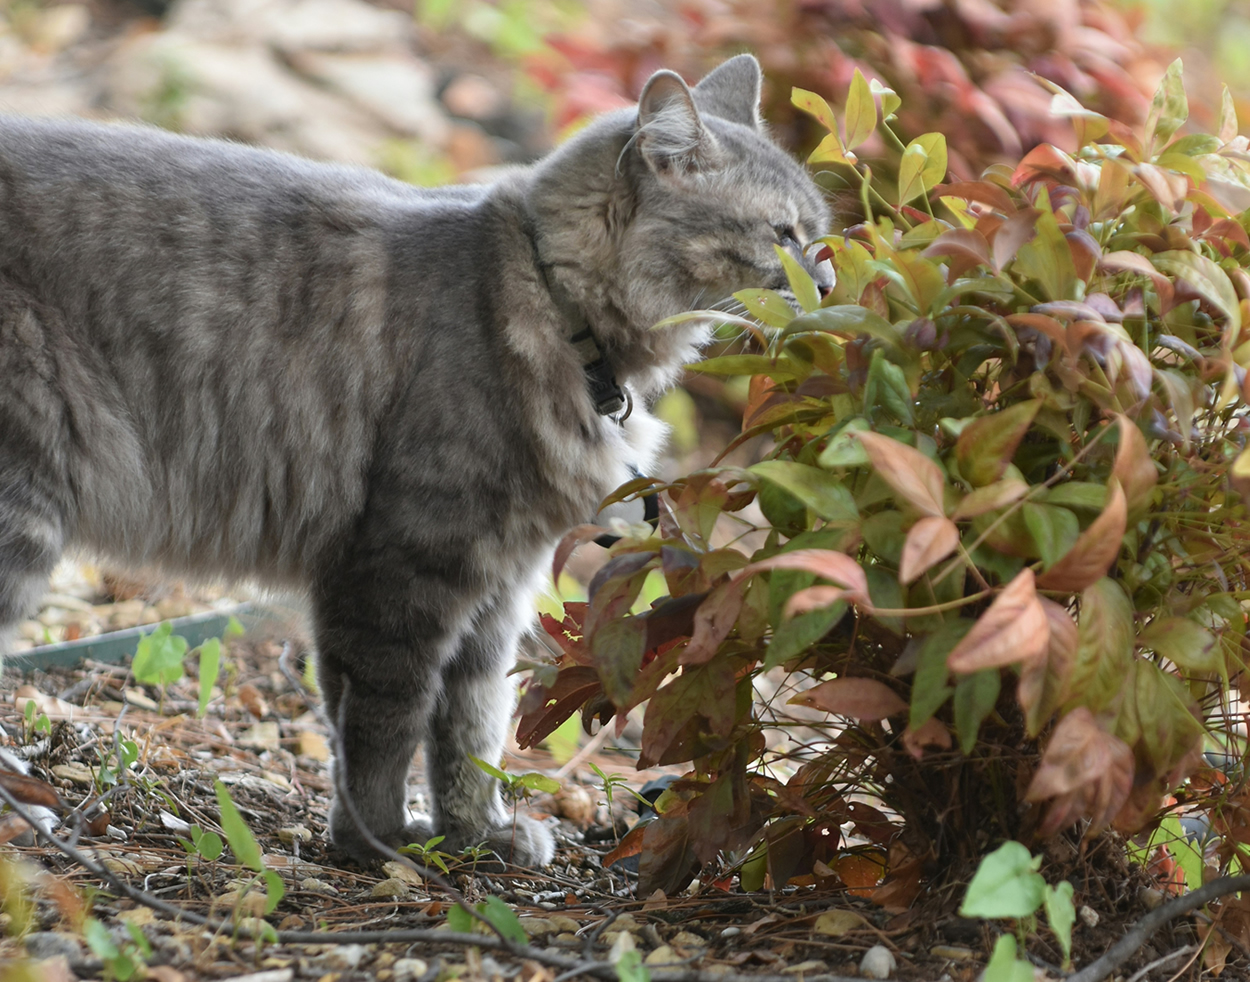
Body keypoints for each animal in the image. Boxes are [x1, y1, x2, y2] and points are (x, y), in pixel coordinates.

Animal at [0, 55, 830, 864]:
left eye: (819, 236)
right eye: (782, 233)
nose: (826, 280)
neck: (548, 302)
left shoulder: (497, 587)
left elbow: (470, 724)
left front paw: (476, 833)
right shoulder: (403, 567)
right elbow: (385, 725)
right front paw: (377, 842)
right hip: (23, 505)